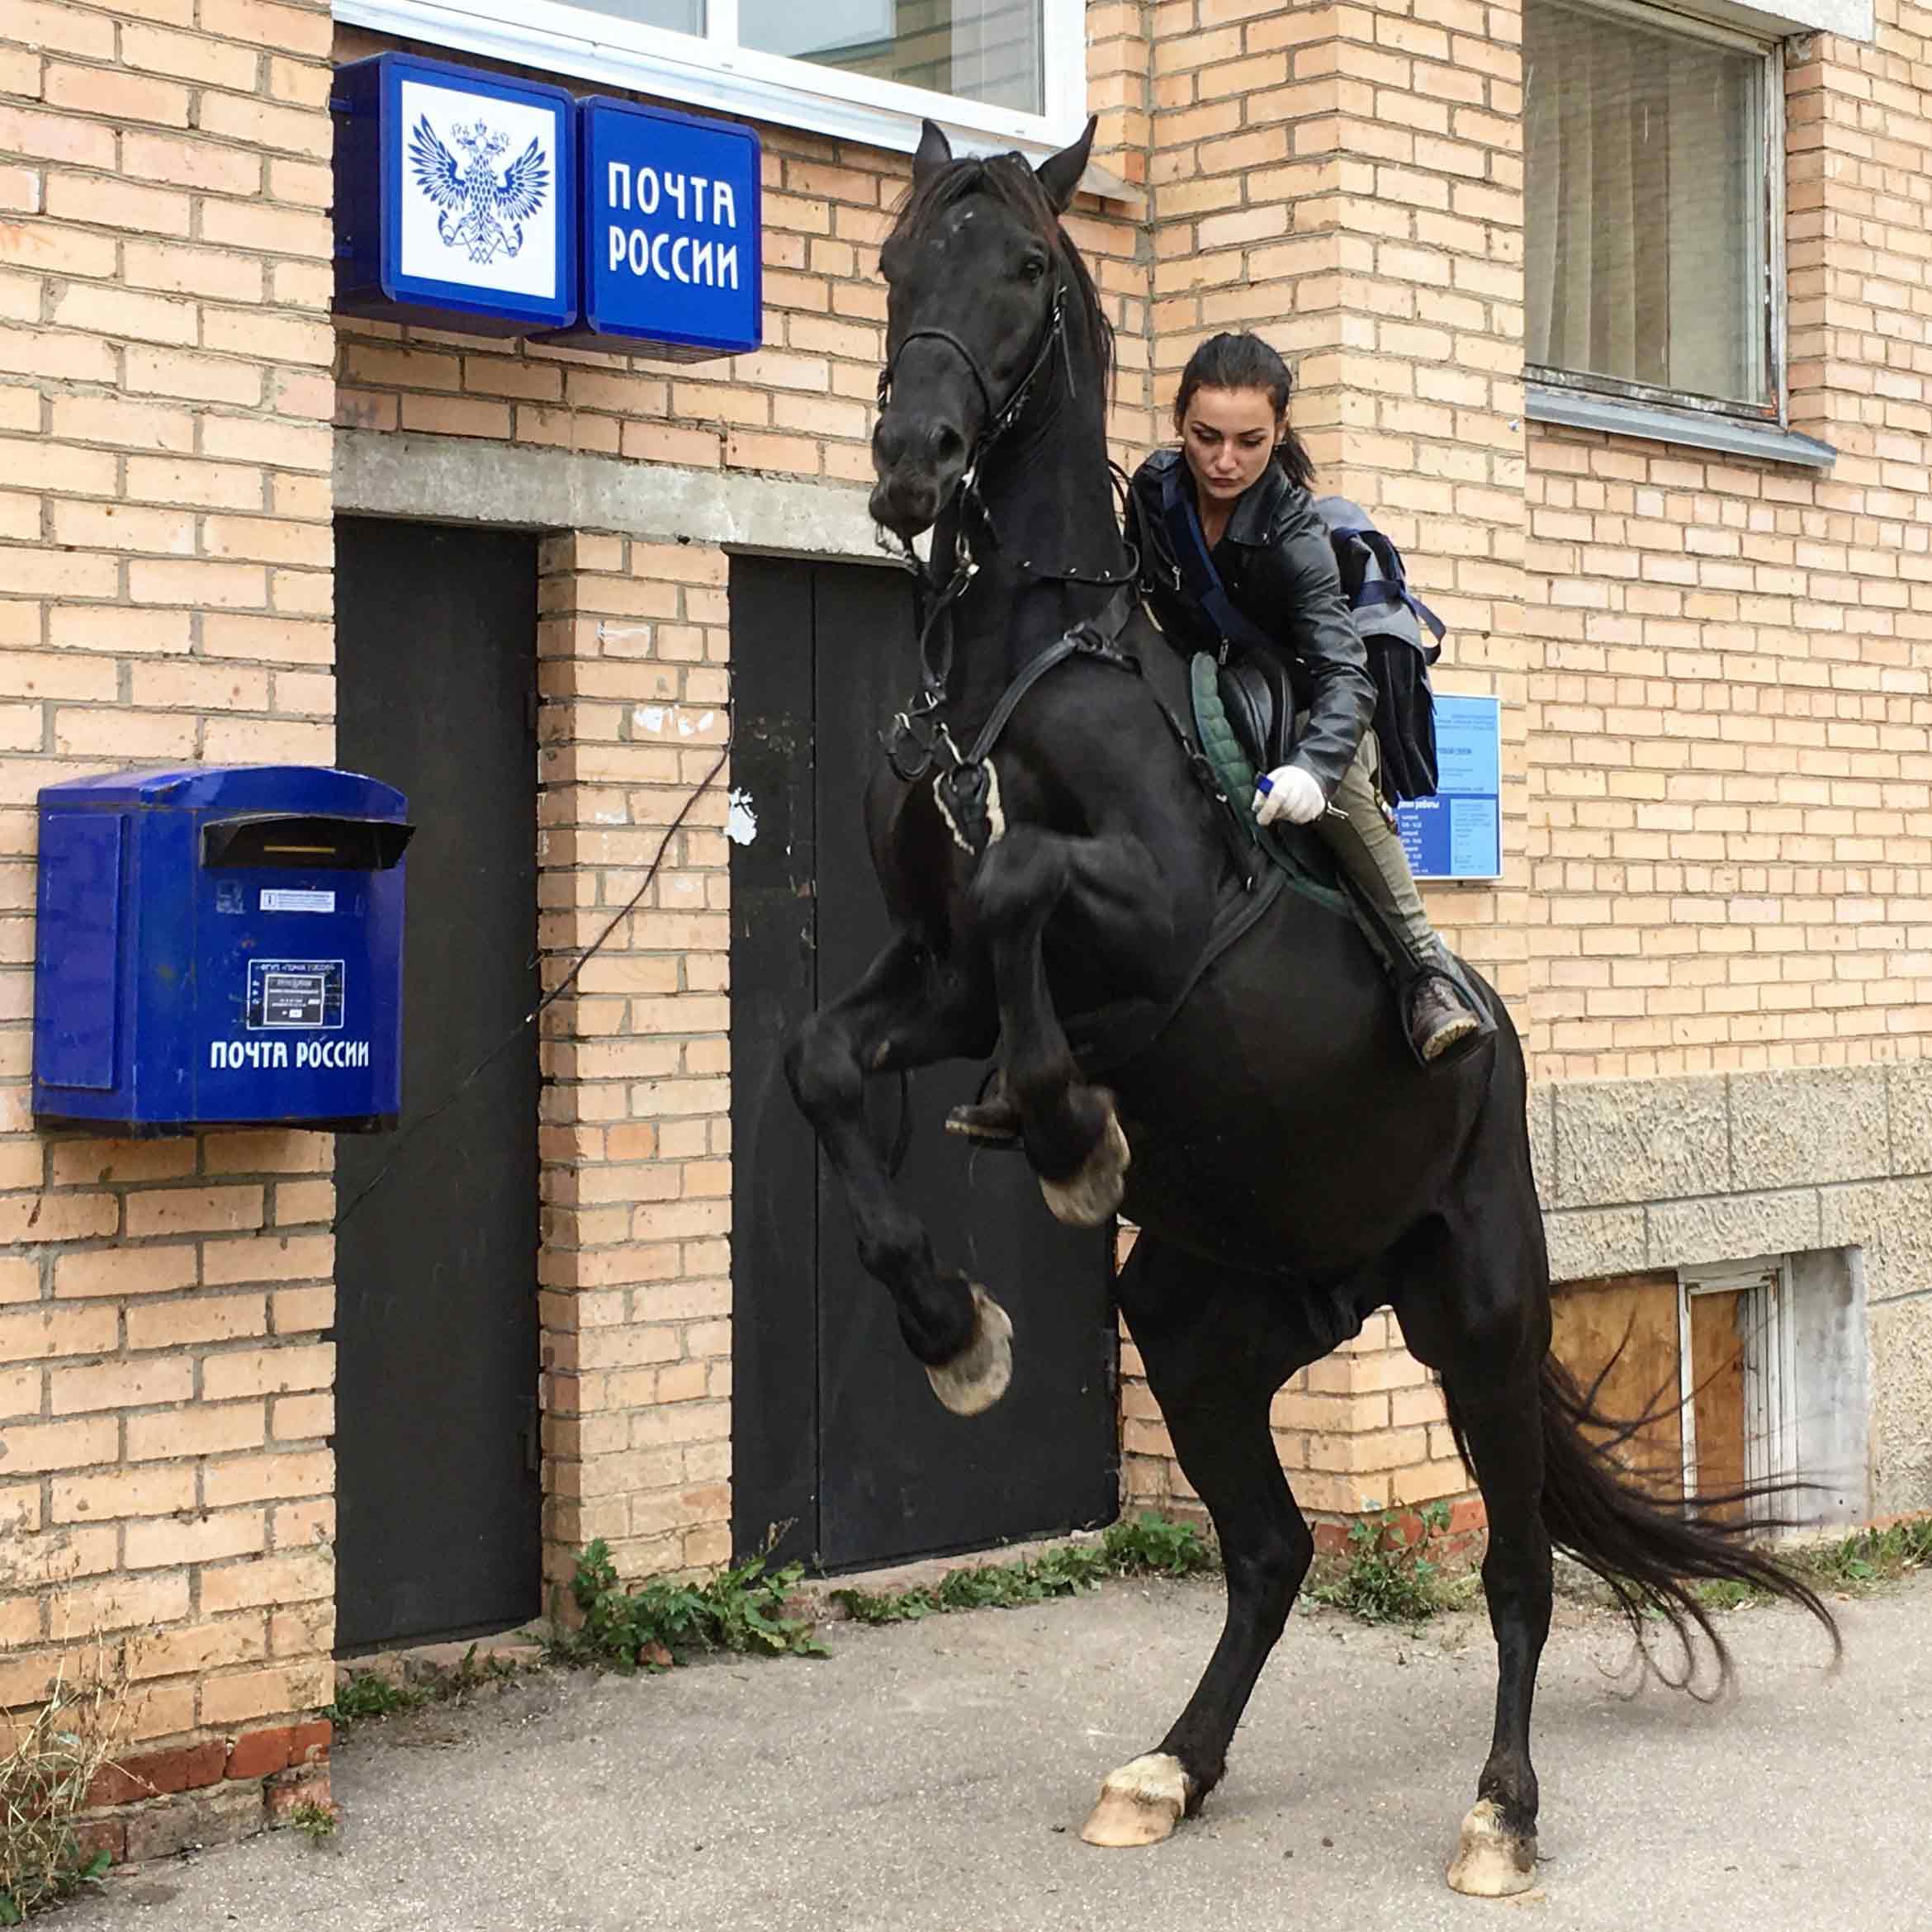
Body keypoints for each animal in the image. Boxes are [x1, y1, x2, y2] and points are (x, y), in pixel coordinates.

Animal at [784, 116, 1837, 1896]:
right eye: (893, 261)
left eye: (1022, 270)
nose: (914, 465)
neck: (1014, 669)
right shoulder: (935, 980)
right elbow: (824, 1064)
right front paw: (954, 1326)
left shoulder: (1146, 917)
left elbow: (1020, 884)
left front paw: (1069, 1140)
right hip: (1207, 1321)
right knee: (1272, 1547)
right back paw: (1168, 1770)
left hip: (1481, 1310)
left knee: (1514, 1569)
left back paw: (1501, 1812)